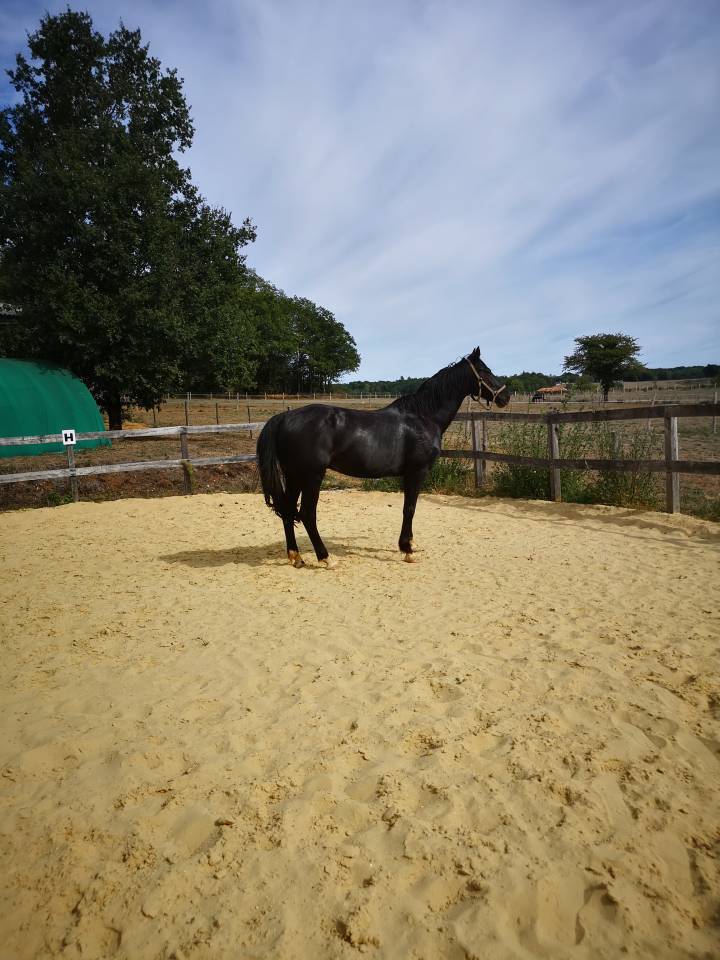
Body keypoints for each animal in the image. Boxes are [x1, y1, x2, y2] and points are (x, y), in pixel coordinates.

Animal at [257, 347, 509, 567]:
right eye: (485, 370)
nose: (505, 396)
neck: (423, 417)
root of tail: (285, 417)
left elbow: (409, 508)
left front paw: (410, 545)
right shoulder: (417, 472)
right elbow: (410, 508)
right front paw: (407, 550)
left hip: (294, 476)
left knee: (288, 510)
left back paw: (296, 557)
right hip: (312, 476)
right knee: (307, 514)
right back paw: (326, 558)